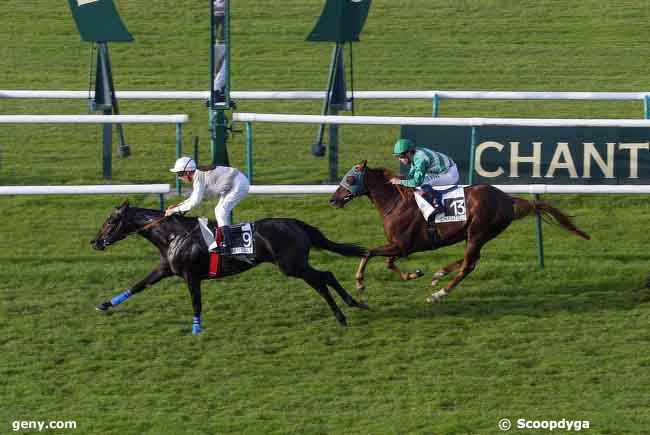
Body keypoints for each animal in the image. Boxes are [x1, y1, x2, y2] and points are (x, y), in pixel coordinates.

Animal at [90, 201, 370, 334]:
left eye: (111, 220)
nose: (94, 242)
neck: (172, 235)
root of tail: (296, 224)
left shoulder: (191, 276)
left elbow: (196, 302)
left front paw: (196, 329)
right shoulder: (165, 269)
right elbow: (138, 286)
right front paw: (104, 304)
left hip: (291, 266)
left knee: (321, 280)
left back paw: (344, 314)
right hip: (296, 265)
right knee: (326, 277)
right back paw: (353, 305)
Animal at [330, 159, 588, 304]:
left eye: (350, 178)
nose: (333, 200)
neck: (395, 202)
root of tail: (508, 199)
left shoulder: (402, 245)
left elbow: (369, 252)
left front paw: (360, 283)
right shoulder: (399, 247)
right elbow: (388, 263)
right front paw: (414, 274)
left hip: (478, 232)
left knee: (468, 265)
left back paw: (439, 293)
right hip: (474, 235)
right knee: (470, 260)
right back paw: (439, 274)